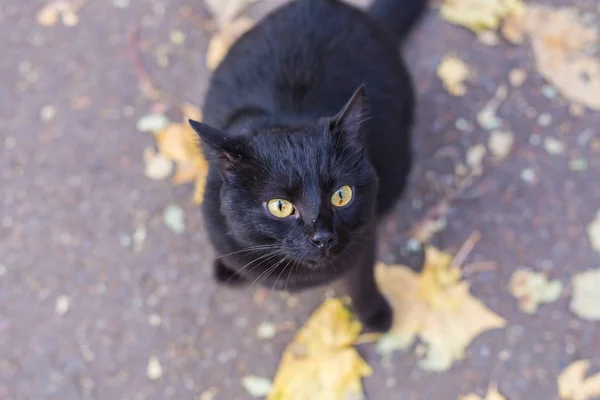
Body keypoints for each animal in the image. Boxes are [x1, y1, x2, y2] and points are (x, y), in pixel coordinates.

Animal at [190, 0, 428, 332]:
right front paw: (228, 269)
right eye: (280, 206)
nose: (322, 237)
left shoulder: (363, 239)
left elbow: (361, 282)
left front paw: (373, 314)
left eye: (342, 195)